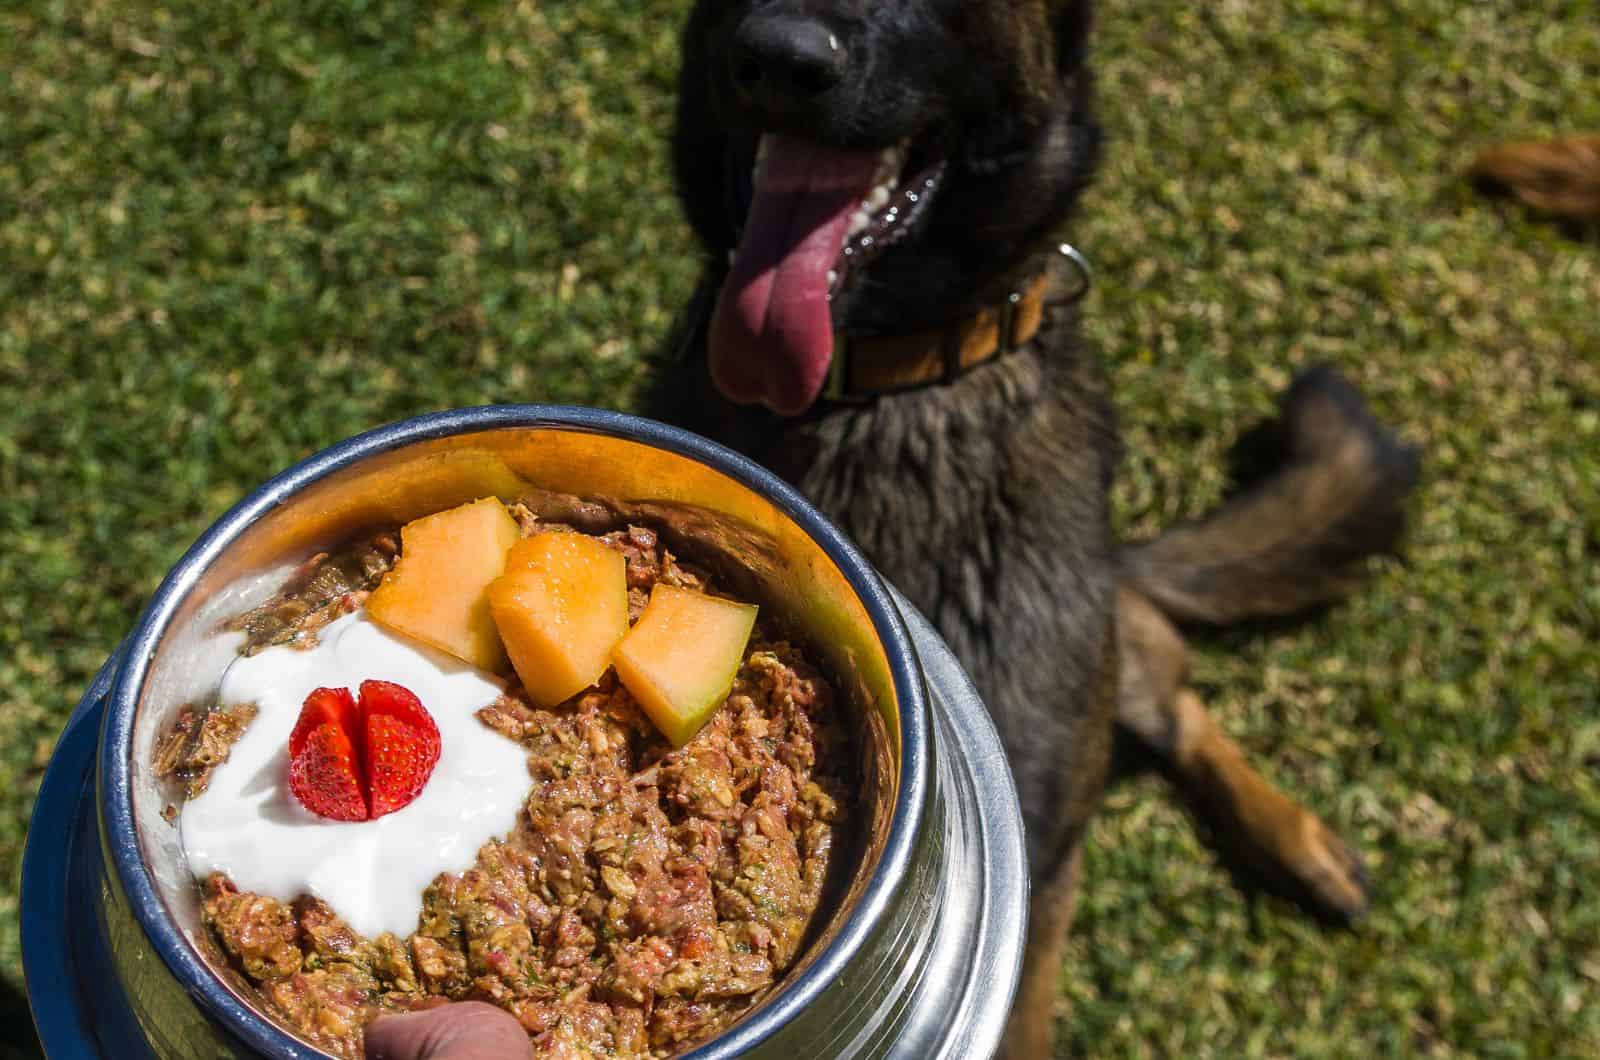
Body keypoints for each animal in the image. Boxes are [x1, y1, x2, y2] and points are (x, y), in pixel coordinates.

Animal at [643, 0, 1420, 1056]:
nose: (780, 57)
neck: (875, 395)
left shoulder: (1045, 873)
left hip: (1108, 654)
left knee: (1172, 686)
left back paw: (1295, 838)